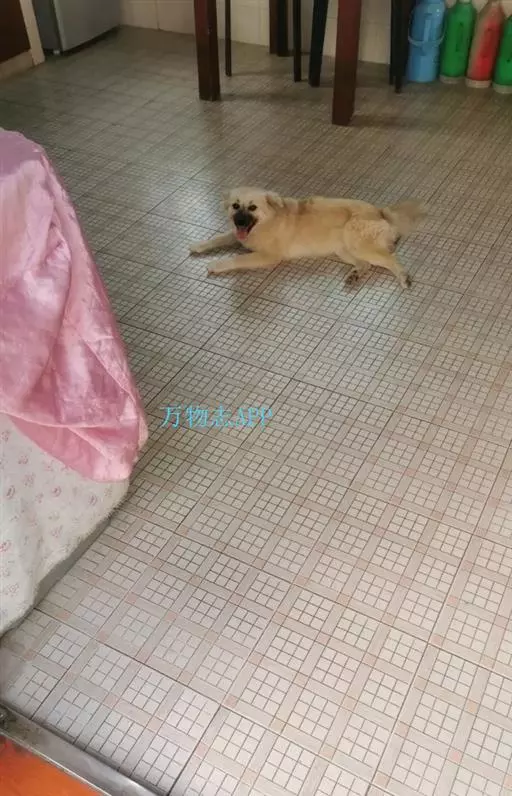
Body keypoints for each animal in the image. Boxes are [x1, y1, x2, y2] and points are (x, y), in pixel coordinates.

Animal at [190, 188, 425, 288]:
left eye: (253, 207)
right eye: (235, 206)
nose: (238, 221)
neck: (267, 221)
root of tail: (380, 211)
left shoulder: (268, 256)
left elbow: (238, 258)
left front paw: (217, 264)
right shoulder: (238, 236)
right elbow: (220, 237)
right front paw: (200, 244)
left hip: (359, 244)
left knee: (391, 260)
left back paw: (404, 278)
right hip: (344, 249)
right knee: (365, 264)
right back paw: (354, 275)